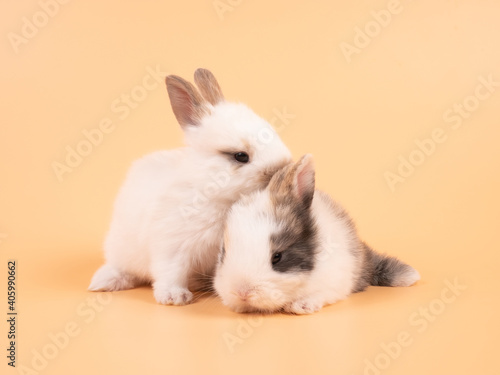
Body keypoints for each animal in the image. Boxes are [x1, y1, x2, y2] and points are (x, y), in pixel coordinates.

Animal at [89, 68, 292, 306]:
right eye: (240, 156)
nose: (283, 165)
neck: (212, 192)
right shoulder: (172, 246)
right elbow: (171, 271)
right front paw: (174, 297)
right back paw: (103, 282)